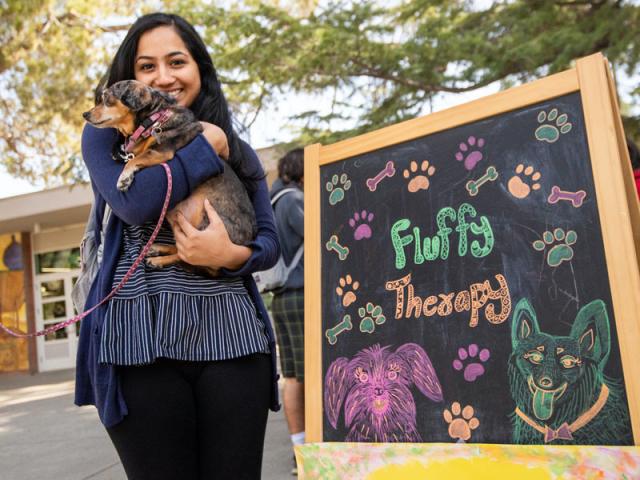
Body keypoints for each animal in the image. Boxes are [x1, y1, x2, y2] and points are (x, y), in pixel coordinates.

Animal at [82, 80, 258, 276]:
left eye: (106, 98)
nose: (85, 114)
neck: (154, 119)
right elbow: (133, 156)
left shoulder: (161, 151)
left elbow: (135, 160)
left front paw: (124, 177)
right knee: (181, 249)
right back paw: (158, 248)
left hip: (205, 226)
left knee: (189, 255)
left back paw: (158, 260)